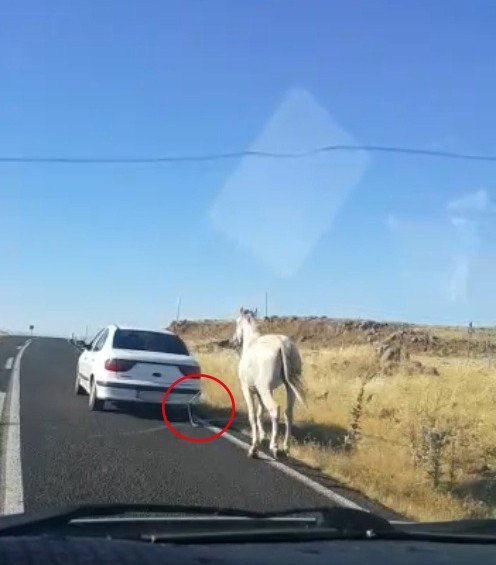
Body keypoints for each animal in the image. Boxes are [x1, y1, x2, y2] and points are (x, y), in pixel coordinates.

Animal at [232, 308, 306, 458]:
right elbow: (261, 412)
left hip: (265, 389)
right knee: (288, 413)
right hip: (288, 387)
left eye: (237, 322)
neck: (251, 343)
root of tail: (282, 344)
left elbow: (253, 414)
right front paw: (262, 436)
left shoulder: (247, 389)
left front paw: (254, 446)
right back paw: (286, 447)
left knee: (274, 409)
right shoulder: (263, 391)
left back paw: (274, 447)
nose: (234, 340)